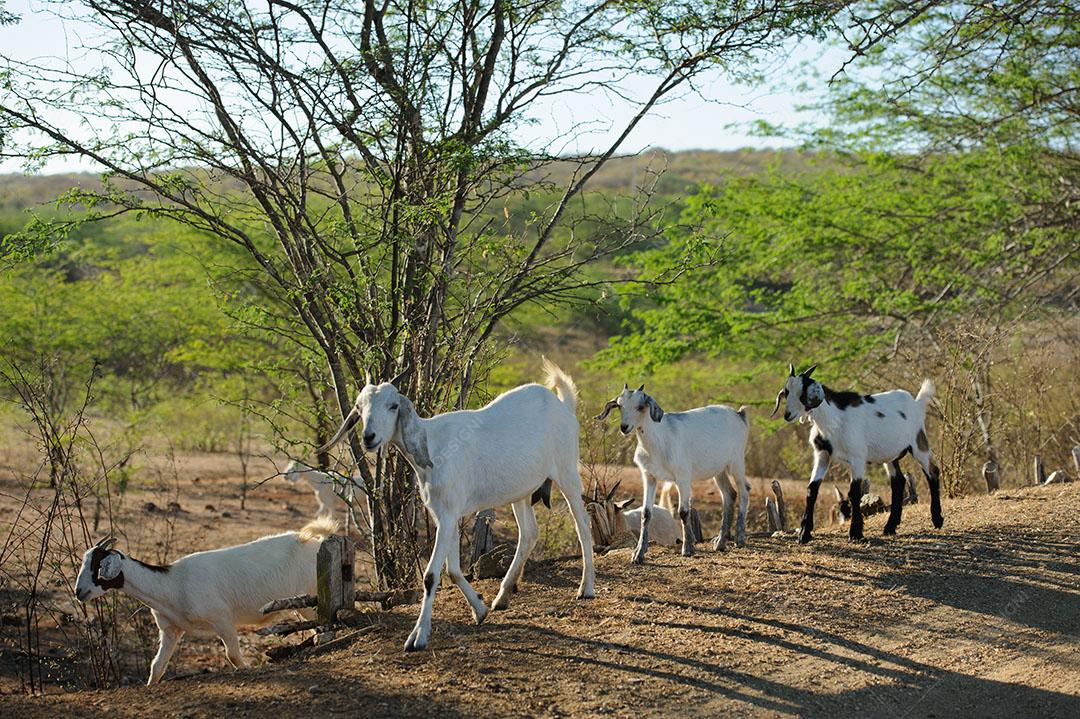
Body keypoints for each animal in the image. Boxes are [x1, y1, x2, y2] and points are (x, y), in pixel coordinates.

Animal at [75, 518, 338, 685]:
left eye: (98, 566)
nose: (79, 592)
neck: (173, 584)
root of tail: (313, 542)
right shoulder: (171, 629)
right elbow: (157, 665)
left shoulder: (221, 618)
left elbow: (232, 656)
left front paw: (249, 669)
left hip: (309, 600)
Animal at [319, 359, 594, 652]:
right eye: (360, 407)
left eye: (393, 406)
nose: (369, 437)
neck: (432, 443)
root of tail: (563, 406)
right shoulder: (445, 515)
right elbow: (452, 570)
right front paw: (480, 610)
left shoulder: (449, 515)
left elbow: (430, 575)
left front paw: (418, 636)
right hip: (520, 492)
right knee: (530, 532)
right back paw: (502, 597)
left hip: (567, 472)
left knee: (582, 525)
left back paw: (586, 588)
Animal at [596, 384, 750, 563]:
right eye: (620, 405)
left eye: (640, 406)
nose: (624, 427)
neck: (659, 441)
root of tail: (739, 415)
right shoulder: (649, 476)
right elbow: (646, 513)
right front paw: (638, 553)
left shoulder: (682, 477)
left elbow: (683, 511)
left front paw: (688, 548)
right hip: (719, 469)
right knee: (729, 494)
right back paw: (720, 543)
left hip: (736, 462)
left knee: (744, 490)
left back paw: (739, 539)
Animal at [773, 364, 944, 543]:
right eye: (786, 392)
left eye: (802, 394)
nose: (787, 415)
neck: (834, 419)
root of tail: (916, 403)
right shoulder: (822, 455)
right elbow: (811, 490)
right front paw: (804, 534)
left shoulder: (857, 458)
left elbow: (854, 492)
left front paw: (855, 533)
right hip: (889, 454)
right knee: (898, 481)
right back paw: (890, 527)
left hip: (918, 442)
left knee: (932, 471)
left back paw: (937, 520)